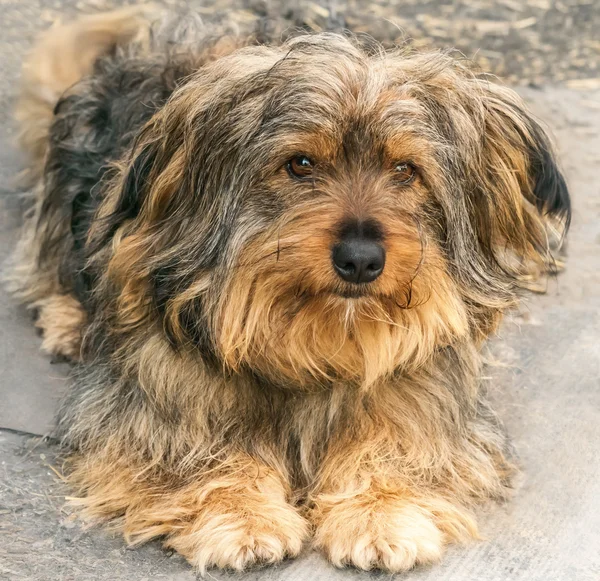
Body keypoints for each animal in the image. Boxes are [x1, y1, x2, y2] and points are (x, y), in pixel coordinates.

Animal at [9, 5, 572, 576]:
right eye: (300, 164)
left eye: (405, 169)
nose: (361, 260)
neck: (317, 336)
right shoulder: (155, 393)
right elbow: (192, 450)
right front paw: (240, 512)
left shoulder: (427, 388)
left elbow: (403, 440)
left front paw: (380, 511)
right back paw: (69, 321)